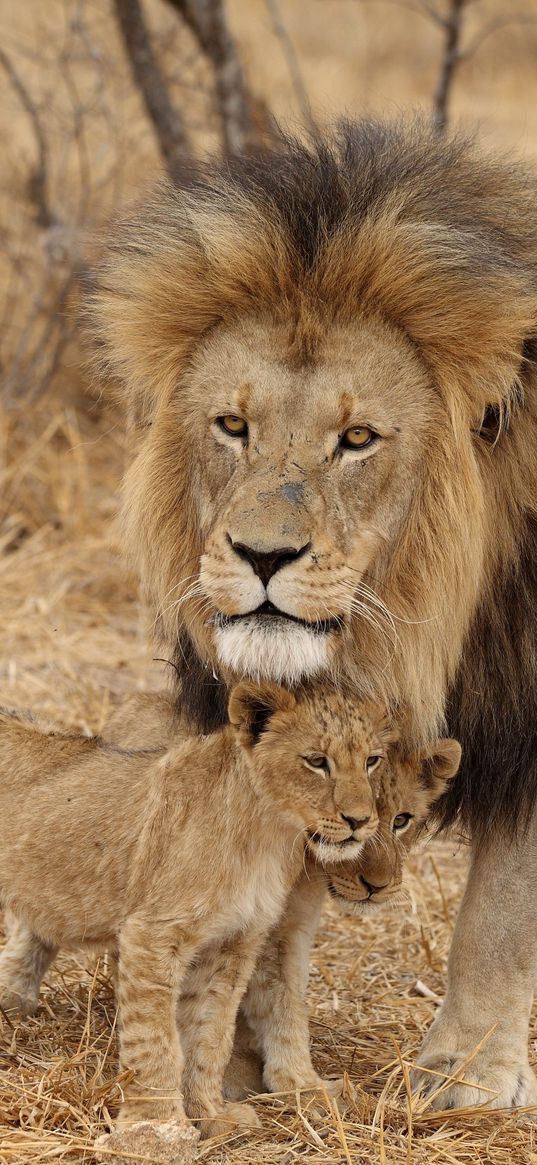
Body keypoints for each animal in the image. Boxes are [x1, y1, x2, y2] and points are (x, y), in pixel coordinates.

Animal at [90, 122, 535, 1113]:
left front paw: (463, 1075)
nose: (261, 556)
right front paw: (238, 1059)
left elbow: (499, 912)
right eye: (231, 425)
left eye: (358, 439)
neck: (418, 627)